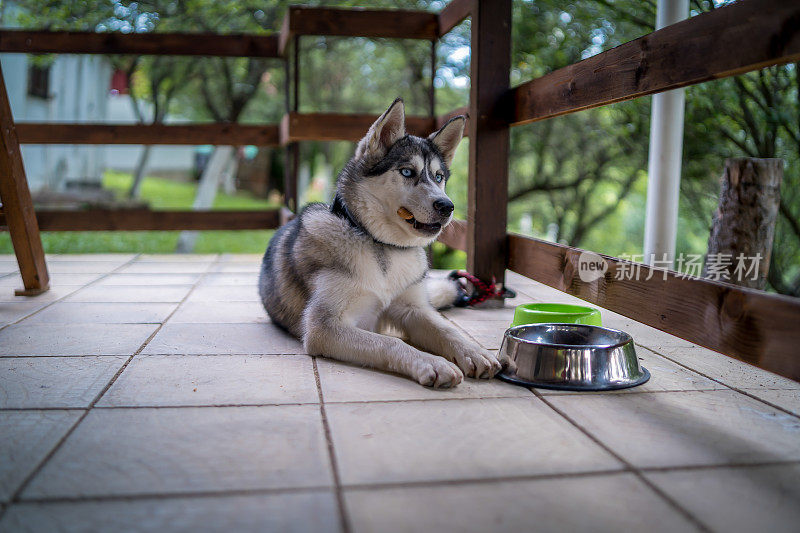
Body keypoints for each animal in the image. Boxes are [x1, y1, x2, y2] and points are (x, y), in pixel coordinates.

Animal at [258, 97, 506, 384]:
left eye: (438, 177)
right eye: (407, 172)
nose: (447, 206)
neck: (383, 246)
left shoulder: (413, 310)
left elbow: (446, 329)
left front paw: (473, 351)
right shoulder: (324, 327)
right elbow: (392, 342)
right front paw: (433, 362)